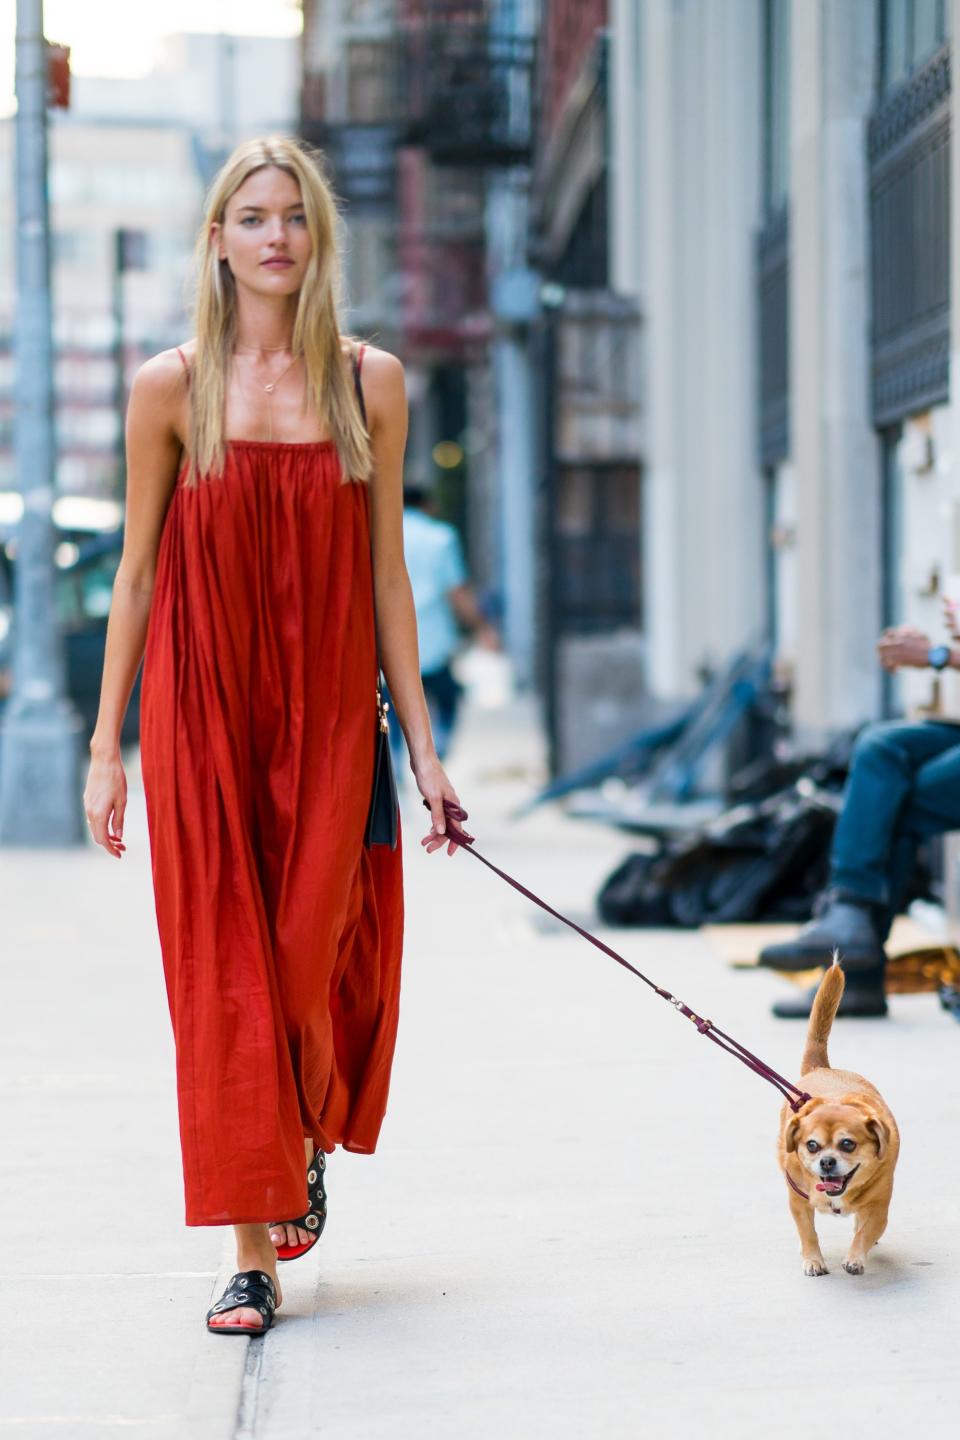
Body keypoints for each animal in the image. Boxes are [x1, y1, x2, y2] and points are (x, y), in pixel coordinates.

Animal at [777, 961, 903, 1278]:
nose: (826, 1161)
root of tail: (822, 1068)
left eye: (848, 1144)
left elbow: (865, 1232)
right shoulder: (798, 1202)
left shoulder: (879, 1208)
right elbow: (808, 1232)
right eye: (811, 1145)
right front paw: (813, 1259)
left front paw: (856, 1258)